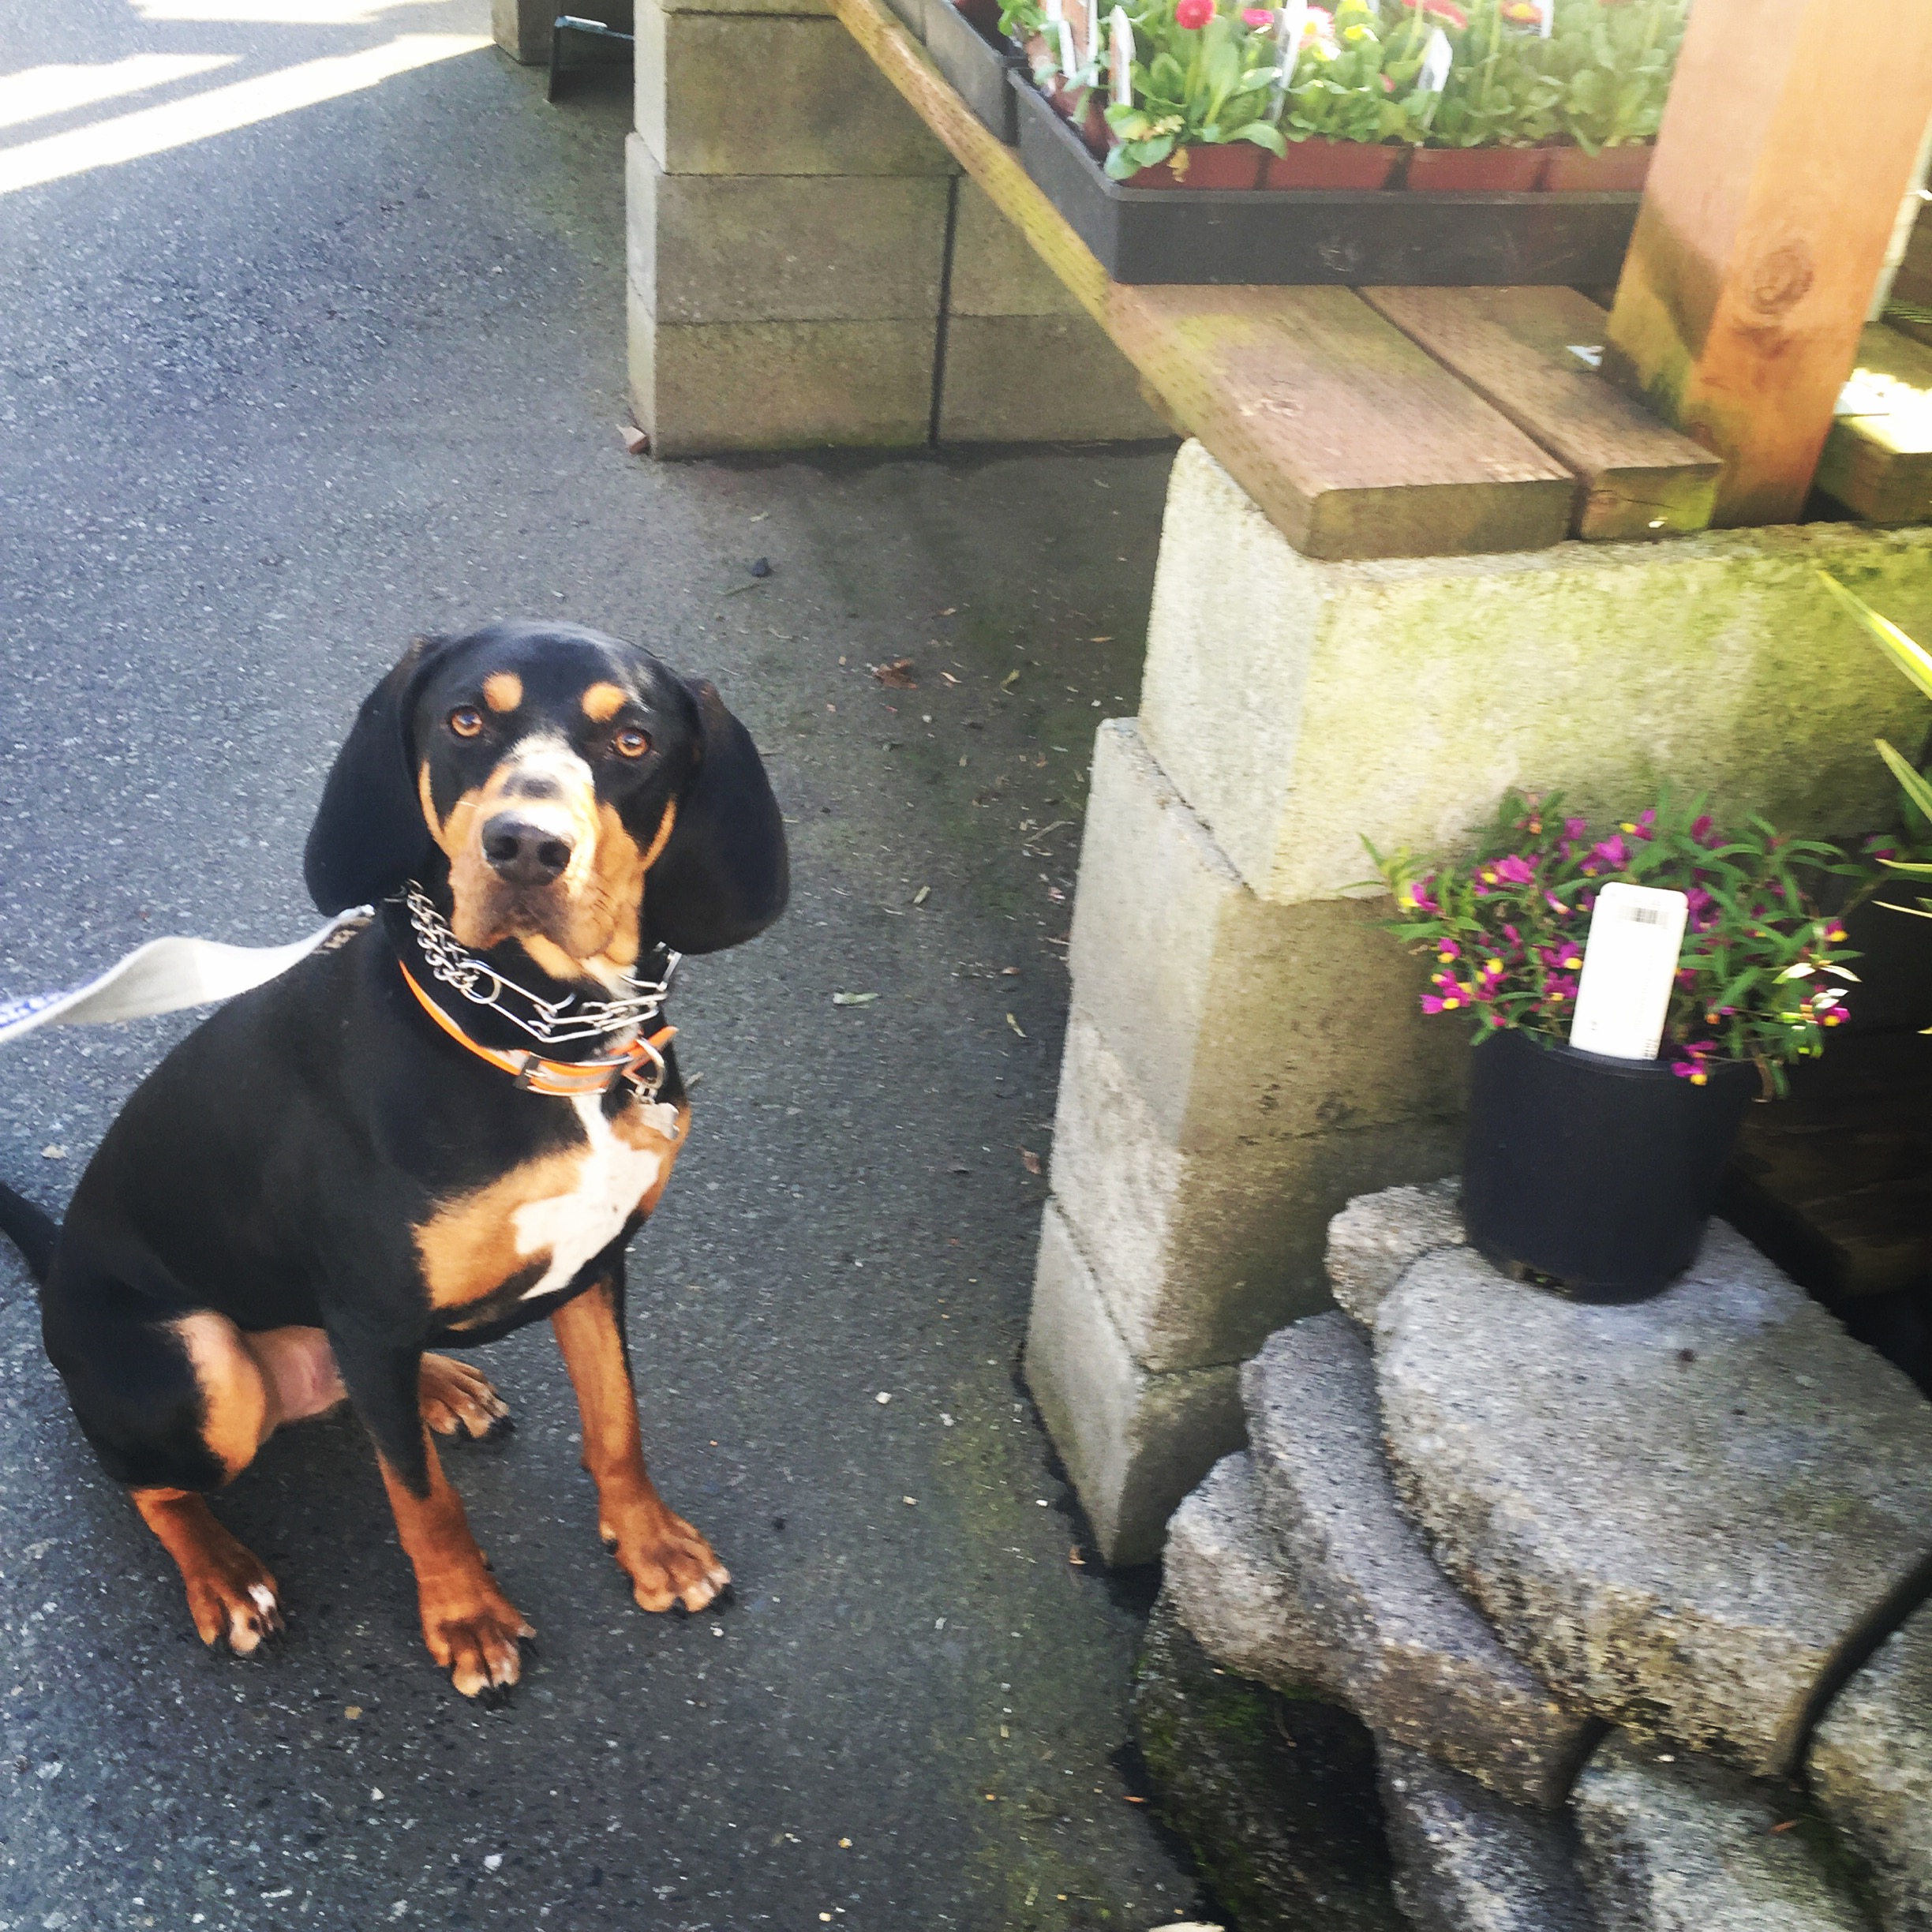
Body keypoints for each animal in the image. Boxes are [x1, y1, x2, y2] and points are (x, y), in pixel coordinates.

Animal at [0, 621, 787, 1697]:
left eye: (631, 740)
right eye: (465, 721)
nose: (526, 847)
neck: (541, 1034)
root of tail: (57, 1277)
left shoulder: (598, 1263)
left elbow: (618, 1422)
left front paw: (652, 1547)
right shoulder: (371, 1310)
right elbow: (421, 1498)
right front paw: (467, 1618)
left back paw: (440, 1386)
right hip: (208, 1371)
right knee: (149, 1484)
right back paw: (223, 1573)